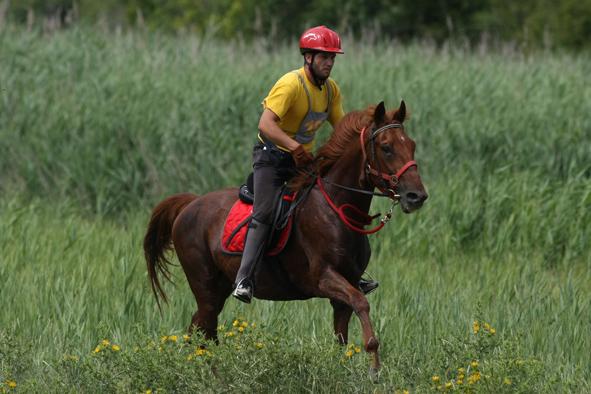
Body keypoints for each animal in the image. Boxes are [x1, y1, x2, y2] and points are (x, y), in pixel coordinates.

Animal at [145, 100, 428, 370]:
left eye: (412, 145)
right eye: (386, 147)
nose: (417, 196)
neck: (336, 207)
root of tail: (190, 204)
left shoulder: (345, 289)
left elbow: (342, 335)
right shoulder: (324, 278)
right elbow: (361, 303)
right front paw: (374, 364)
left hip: (219, 287)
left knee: (200, 330)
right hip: (205, 287)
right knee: (202, 330)